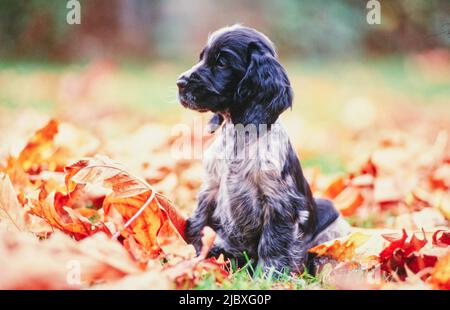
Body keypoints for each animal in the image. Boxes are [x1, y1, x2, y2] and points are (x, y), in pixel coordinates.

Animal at [178, 24, 350, 274]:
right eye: (202, 57)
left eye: (222, 62)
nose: (180, 83)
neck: (239, 137)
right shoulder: (210, 188)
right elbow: (198, 221)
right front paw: (190, 255)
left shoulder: (279, 202)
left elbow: (273, 242)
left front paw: (268, 274)